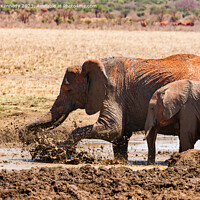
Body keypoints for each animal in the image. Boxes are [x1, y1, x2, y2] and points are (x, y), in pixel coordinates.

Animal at [19, 54, 200, 162]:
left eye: (68, 90)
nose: (25, 138)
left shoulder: (114, 91)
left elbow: (112, 129)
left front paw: (61, 152)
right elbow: (120, 136)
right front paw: (120, 163)